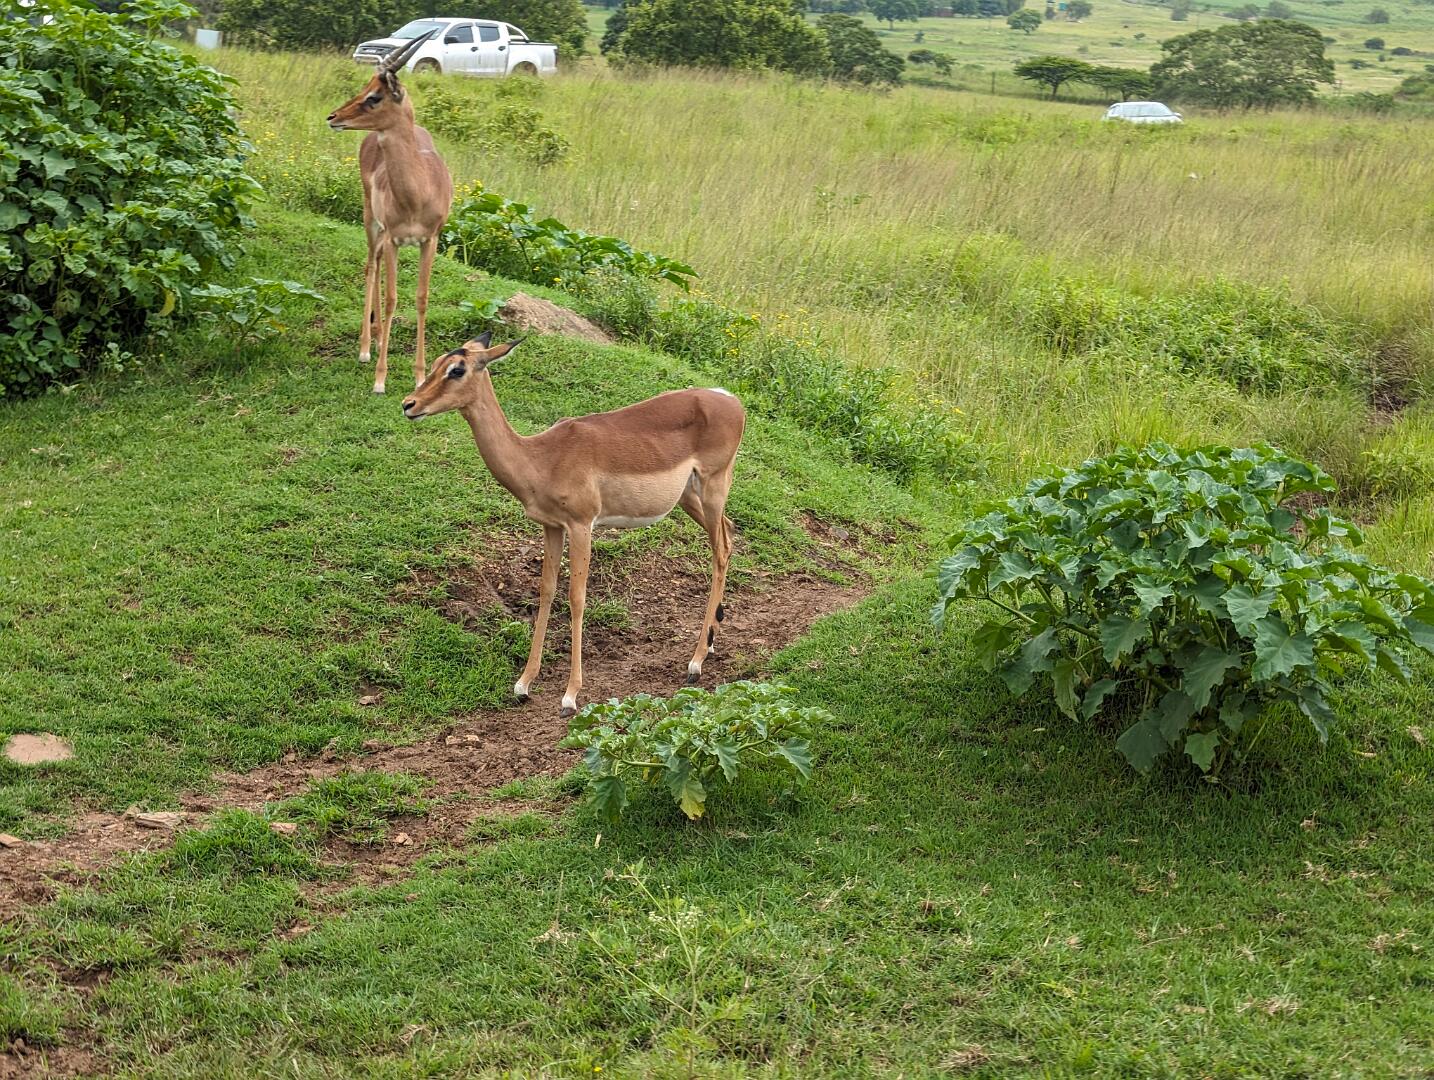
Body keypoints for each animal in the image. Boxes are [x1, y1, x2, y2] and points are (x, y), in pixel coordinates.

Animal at [326, 30, 453, 396]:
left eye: (375, 96)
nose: (333, 117)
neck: (417, 193)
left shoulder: (429, 240)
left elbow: (422, 298)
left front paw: (421, 376)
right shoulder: (397, 239)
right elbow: (393, 297)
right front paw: (380, 379)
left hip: (384, 231)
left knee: (379, 264)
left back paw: (380, 336)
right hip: (370, 218)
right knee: (372, 266)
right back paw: (367, 348)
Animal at [402, 334, 746, 718]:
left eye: (457, 369)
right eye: (435, 363)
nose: (409, 404)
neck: (541, 458)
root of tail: (728, 398)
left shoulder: (582, 525)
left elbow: (576, 597)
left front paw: (570, 696)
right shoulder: (552, 527)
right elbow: (547, 591)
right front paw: (523, 684)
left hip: (713, 486)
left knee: (721, 550)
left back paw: (695, 663)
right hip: (689, 498)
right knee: (730, 532)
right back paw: (711, 643)